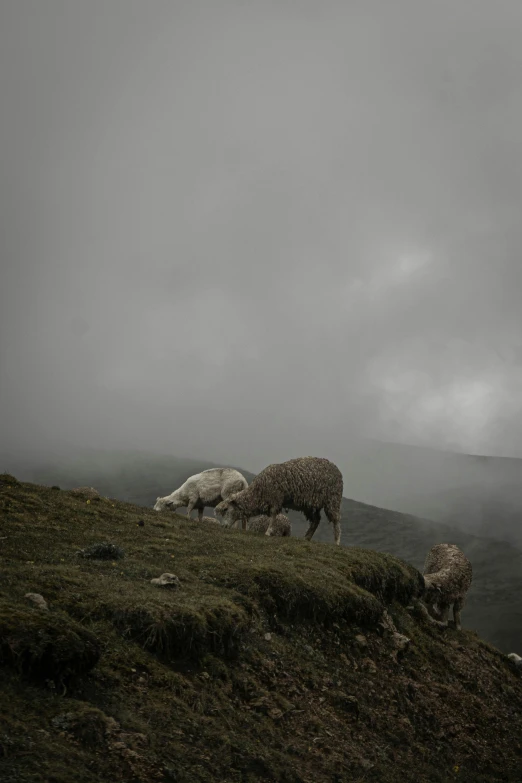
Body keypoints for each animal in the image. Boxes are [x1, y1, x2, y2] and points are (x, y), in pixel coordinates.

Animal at [214, 460, 342, 544]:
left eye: (226, 509)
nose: (223, 526)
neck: (257, 492)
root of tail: (335, 467)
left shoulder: (275, 499)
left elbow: (273, 516)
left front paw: (268, 532)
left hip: (333, 499)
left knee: (336, 521)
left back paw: (336, 542)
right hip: (310, 505)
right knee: (316, 520)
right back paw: (307, 537)